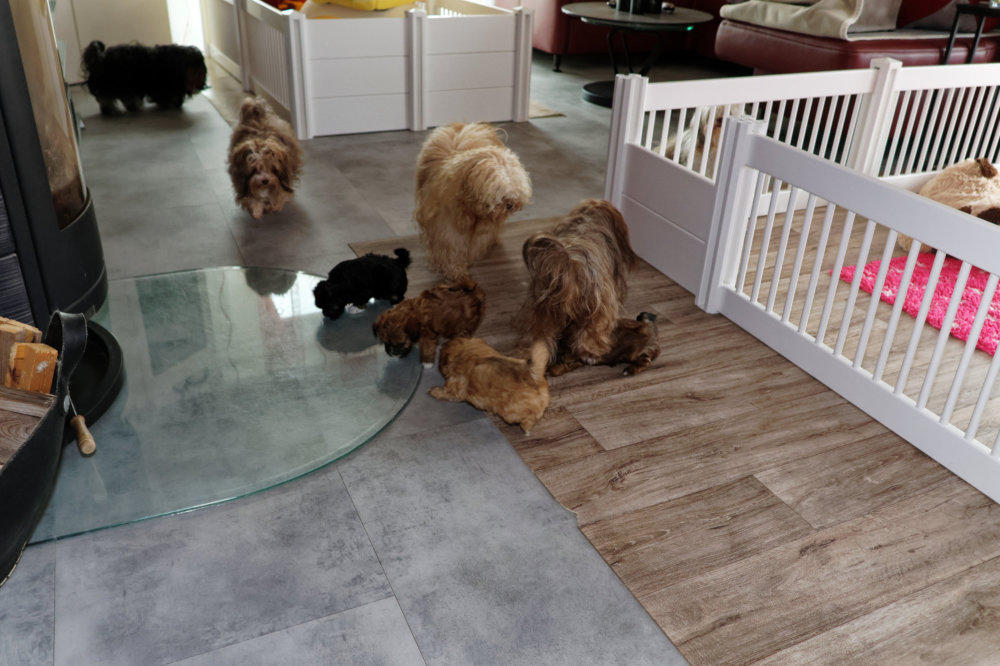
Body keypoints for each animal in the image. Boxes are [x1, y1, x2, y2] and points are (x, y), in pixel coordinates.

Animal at [415, 122, 532, 280]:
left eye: (516, 181)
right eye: (498, 187)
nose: (510, 204)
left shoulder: (485, 227)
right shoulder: (445, 225)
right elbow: (450, 245)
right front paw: (455, 271)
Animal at [522, 198, 639, 366]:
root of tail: (570, 266)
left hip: (542, 306)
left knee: (539, 333)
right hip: (601, 306)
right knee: (592, 330)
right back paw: (590, 353)